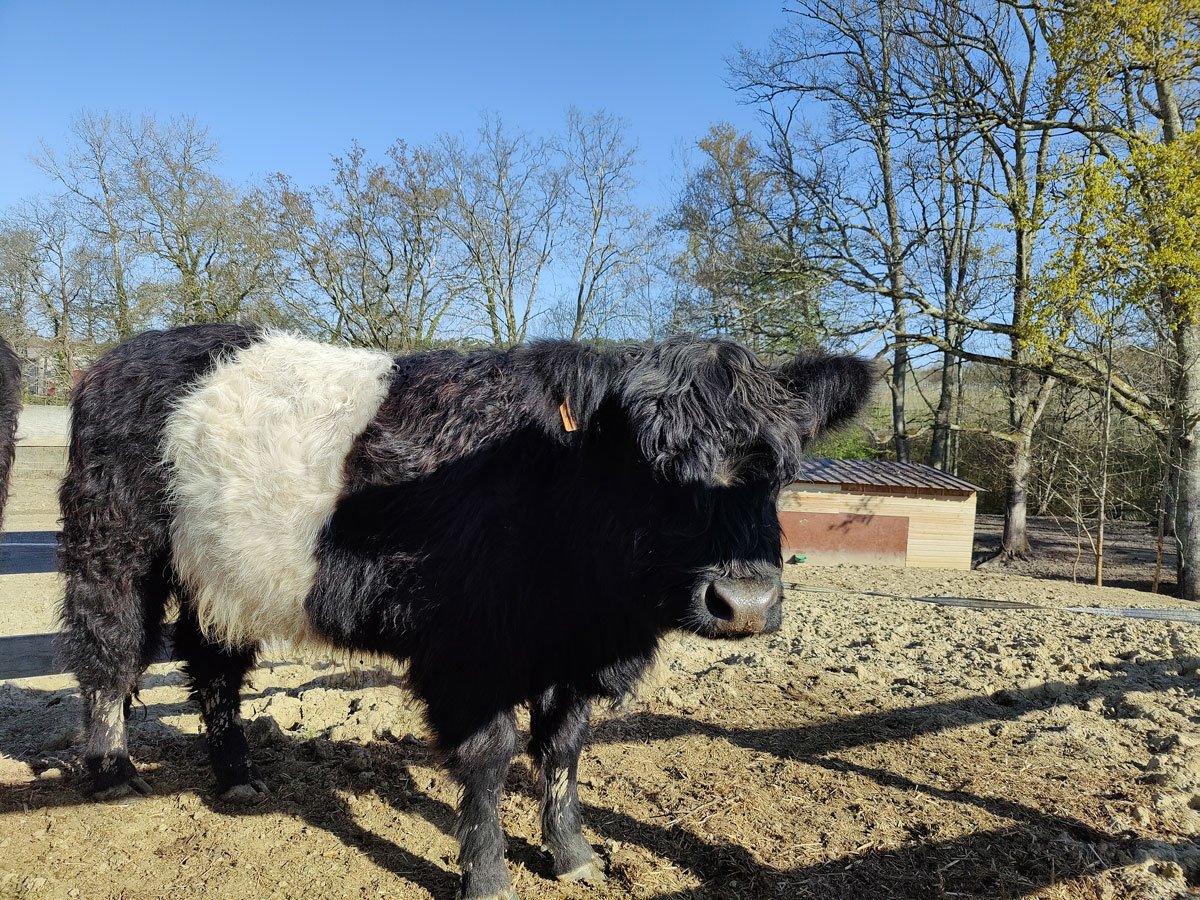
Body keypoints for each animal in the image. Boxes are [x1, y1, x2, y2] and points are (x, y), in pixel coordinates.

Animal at [58, 326, 873, 900]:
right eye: (652, 464)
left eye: (784, 467)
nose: (744, 603)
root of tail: (121, 357)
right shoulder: (467, 656)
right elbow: (490, 757)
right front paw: (487, 877)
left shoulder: (573, 656)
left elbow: (563, 750)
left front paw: (574, 857)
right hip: (114, 545)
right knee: (109, 652)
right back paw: (111, 770)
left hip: (219, 578)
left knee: (213, 669)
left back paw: (236, 777)